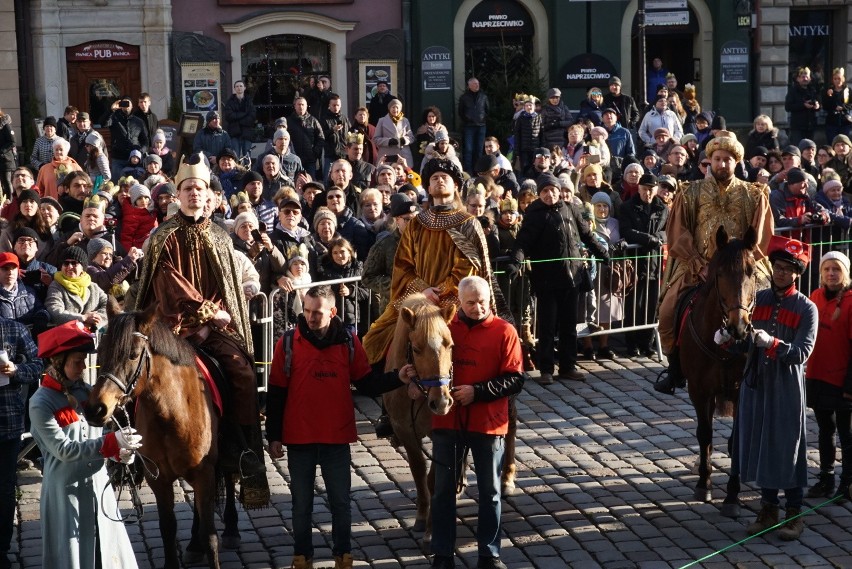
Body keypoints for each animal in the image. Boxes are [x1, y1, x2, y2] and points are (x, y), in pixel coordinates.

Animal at [85, 300, 238, 564]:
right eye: (101, 352)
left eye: (133, 354)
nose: (96, 408)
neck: (171, 414)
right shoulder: (159, 479)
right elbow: (167, 528)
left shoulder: (204, 473)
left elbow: (210, 535)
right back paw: (194, 544)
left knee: (228, 478)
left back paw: (231, 528)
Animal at [680, 225, 760, 516]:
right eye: (720, 273)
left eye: (751, 272)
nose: (739, 326)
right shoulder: (698, 390)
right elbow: (704, 433)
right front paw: (704, 484)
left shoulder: (740, 392)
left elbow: (736, 442)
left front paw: (732, 496)